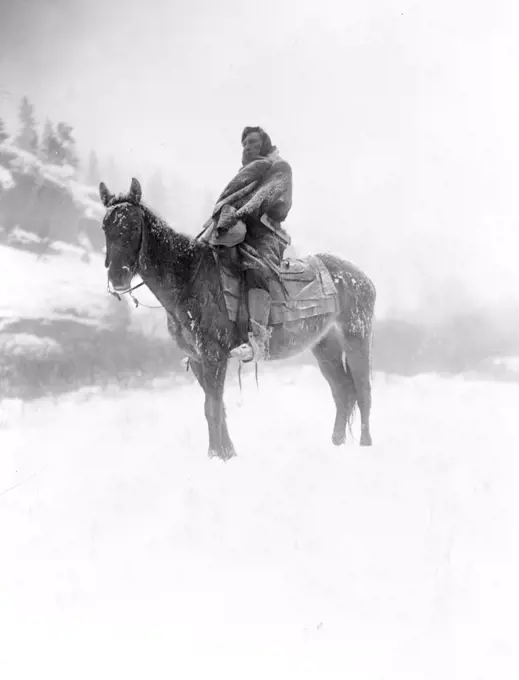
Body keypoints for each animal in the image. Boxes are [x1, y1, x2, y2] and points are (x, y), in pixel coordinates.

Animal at [99, 178, 376, 460]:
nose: (118, 277)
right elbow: (215, 407)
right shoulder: (198, 359)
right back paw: (337, 444)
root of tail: (361, 277)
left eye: (134, 225)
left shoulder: (214, 357)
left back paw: (365, 444)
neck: (189, 279)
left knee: (362, 389)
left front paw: (218, 455)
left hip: (357, 337)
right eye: (105, 226)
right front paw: (224, 453)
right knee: (342, 391)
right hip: (324, 345)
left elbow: (212, 406)